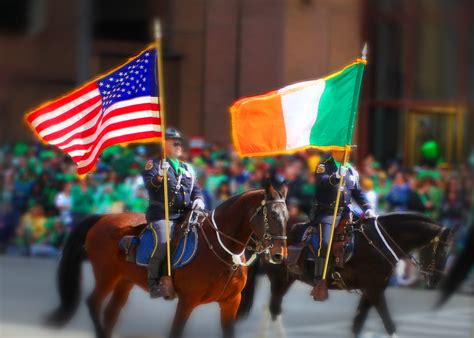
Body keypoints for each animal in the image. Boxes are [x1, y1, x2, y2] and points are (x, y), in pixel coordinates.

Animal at [47, 182, 288, 338]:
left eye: (287, 217)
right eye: (272, 215)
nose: (279, 255)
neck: (222, 250)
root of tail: (104, 217)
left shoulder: (231, 303)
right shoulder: (187, 302)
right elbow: (176, 332)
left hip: (124, 281)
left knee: (110, 313)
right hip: (106, 276)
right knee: (93, 303)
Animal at [239, 213, 454, 336]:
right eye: (441, 251)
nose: (436, 281)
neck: (379, 243)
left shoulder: (371, 290)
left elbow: (357, 325)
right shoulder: (374, 290)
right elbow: (389, 325)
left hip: (287, 278)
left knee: (269, 307)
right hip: (279, 279)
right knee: (274, 309)